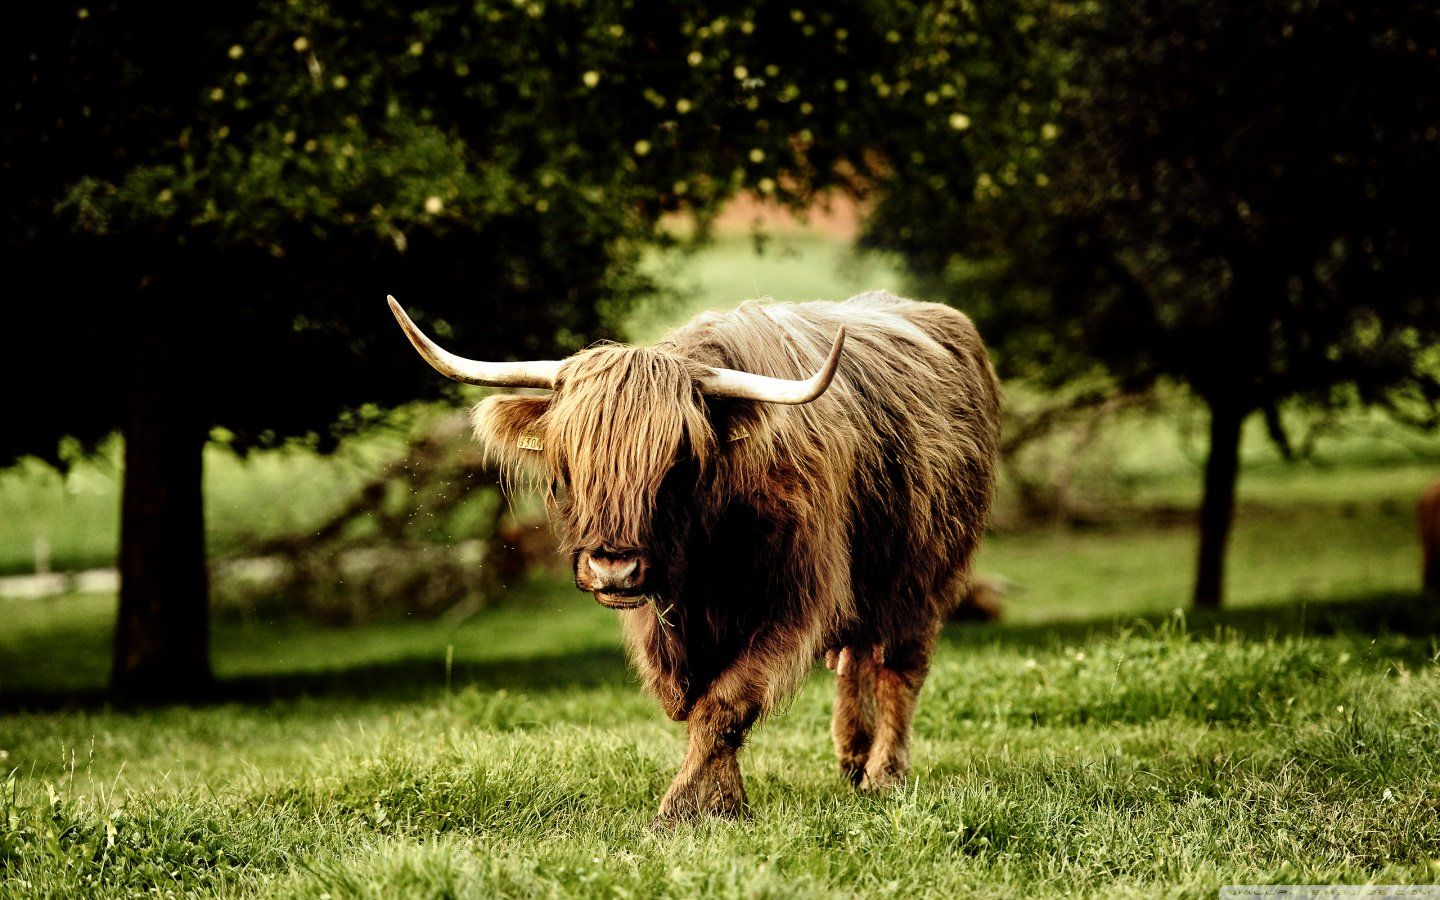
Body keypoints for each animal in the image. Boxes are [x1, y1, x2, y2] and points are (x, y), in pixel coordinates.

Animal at [388, 290, 1002, 824]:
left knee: (899, 666)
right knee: (855, 658)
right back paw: (852, 757)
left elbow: (726, 703)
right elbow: (689, 703)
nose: (613, 567)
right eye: (569, 461)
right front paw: (725, 800)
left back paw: (883, 775)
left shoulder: (794, 600)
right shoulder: (661, 622)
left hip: (923, 575)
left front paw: (685, 808)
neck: (707, 555)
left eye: (677, 463)